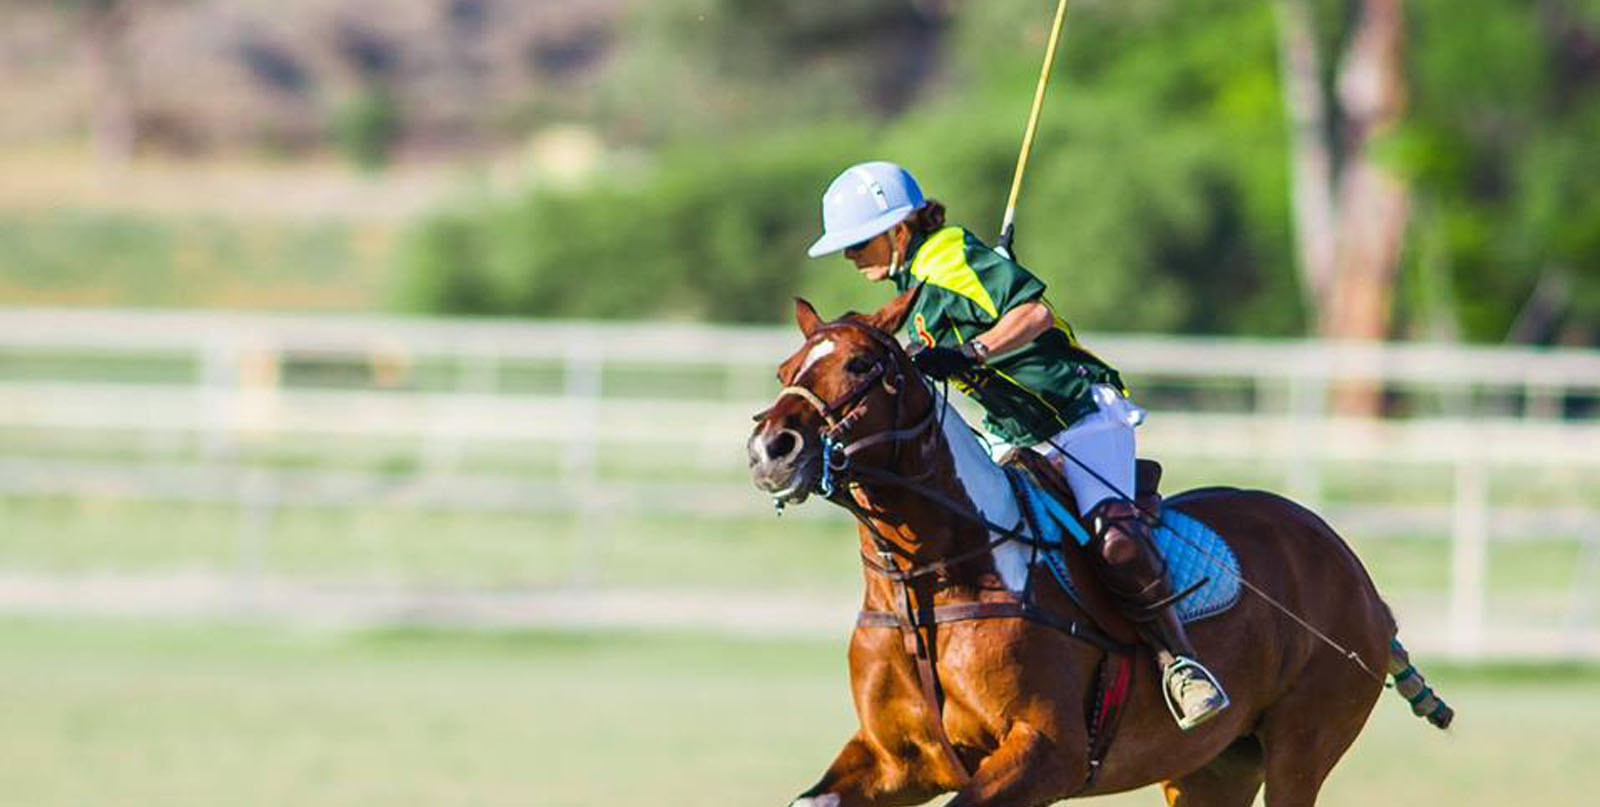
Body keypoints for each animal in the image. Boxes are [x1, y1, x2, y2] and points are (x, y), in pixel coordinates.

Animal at [746, 288, 1452, 807]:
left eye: (863, 365)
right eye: (784, 370)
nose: (769, 449)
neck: (929, 579)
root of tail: (1357, 575)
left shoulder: (1048, 752)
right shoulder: (897, 760)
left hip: (1302, 745)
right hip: (1211, 766)